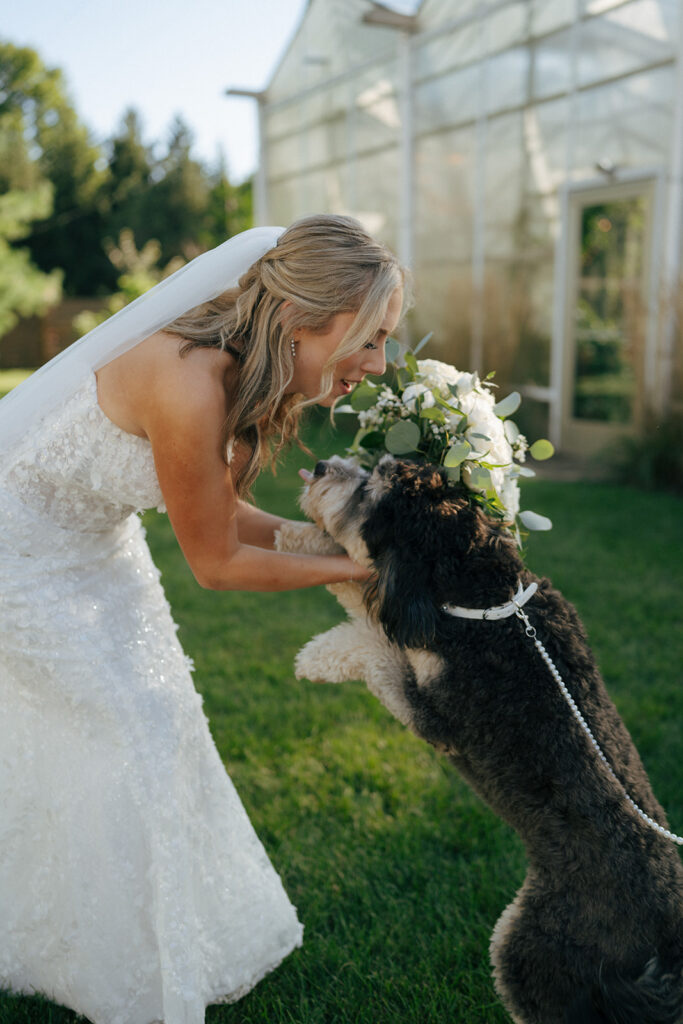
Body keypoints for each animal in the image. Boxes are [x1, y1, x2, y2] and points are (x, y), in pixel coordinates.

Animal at [276, 456, 683, 1024]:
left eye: (368, 493)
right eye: (375, 467)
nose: (319, 465)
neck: (485, 601)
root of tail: (666, 949)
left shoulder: (438, 715)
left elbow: (373, 643)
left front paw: (318, 656)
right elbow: (359, 592)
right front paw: (293, 539)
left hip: (533, 950)